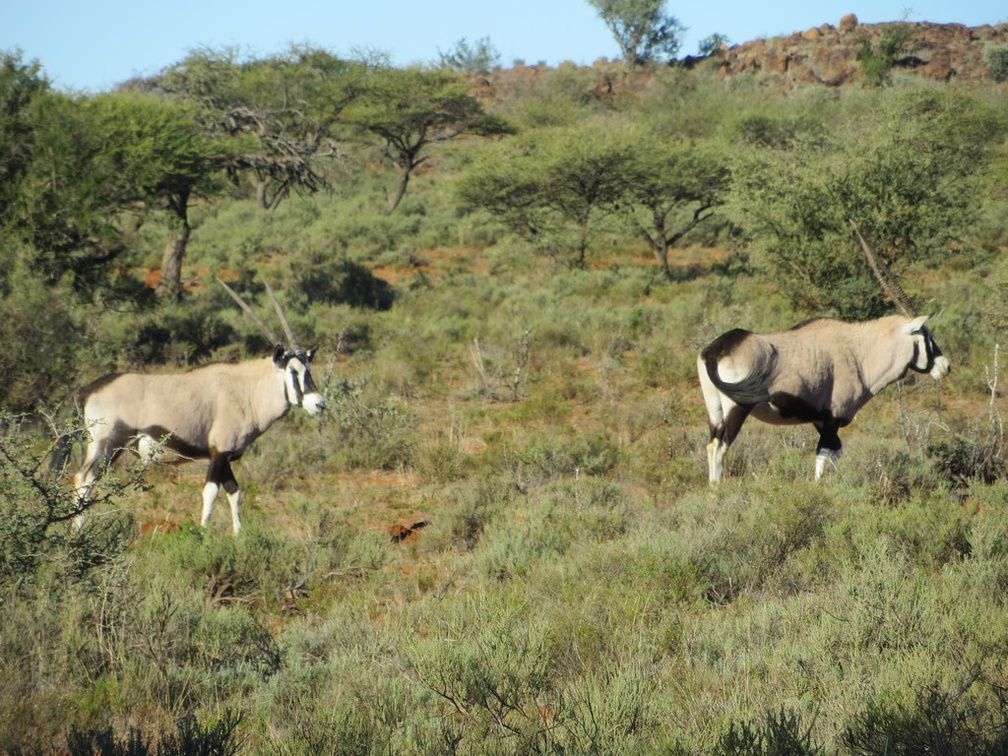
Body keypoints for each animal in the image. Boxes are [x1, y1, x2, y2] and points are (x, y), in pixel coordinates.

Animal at [73, 282, 324, 536]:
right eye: (292, 370)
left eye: (308, 369)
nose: (319, 403)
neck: (246, 389)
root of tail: (91, 389)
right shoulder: (219, 452)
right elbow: (211, 492)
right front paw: (202, 535)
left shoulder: (225, 455)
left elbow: (234, 491)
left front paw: (238, 536)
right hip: (107, 445)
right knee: (84, 480)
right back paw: (76, 533)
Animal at [697, 224, 947, 485]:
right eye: (925, 333)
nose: (944, 365)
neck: (859, 351)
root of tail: (716, 351)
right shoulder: (833, 418)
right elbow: (823, 455)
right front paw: (820, 487)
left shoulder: (820, 420)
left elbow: (835, 453)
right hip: (736, 408)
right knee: (720, 446)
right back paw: (718, 488)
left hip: (714, 409)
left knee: (711, 444)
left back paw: (712, 489)